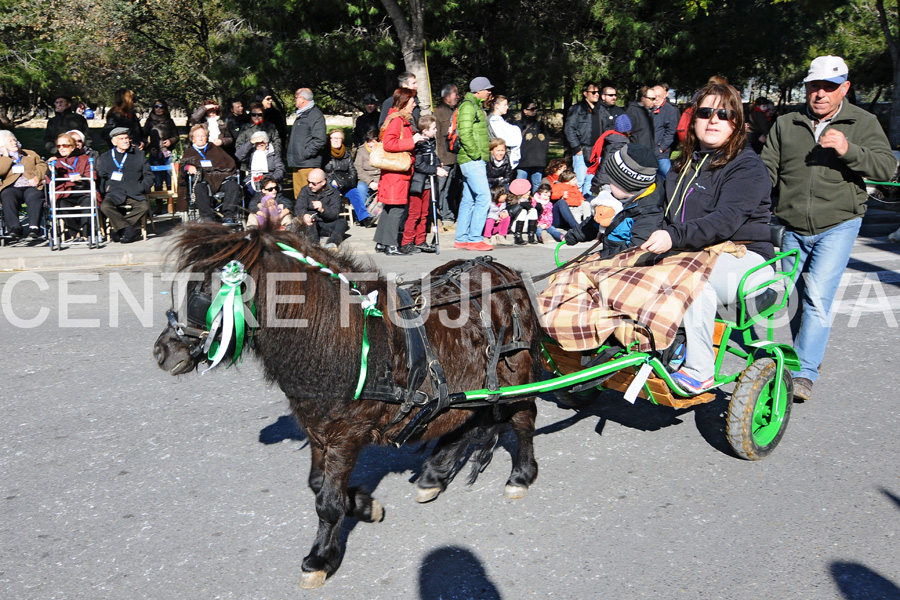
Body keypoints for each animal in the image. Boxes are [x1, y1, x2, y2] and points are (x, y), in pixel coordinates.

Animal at [155, 224, 540, 584]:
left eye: (204, 292)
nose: (162, 350)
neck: (340, 341)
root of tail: (502, 270)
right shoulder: (317, 428)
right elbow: (317, 484)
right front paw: (364, 505)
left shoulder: (346, 434)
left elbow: (326, 502)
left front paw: (320, 558)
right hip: (469, 382)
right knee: (465, 418)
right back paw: (435, 473)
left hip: (515, 369)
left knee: (523, 417)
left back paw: (521, 474)